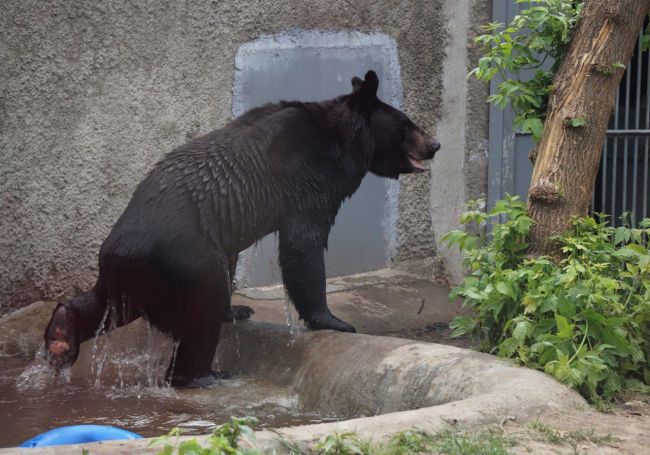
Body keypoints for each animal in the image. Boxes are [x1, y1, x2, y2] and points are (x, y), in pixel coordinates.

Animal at [43, 69, 438, 386]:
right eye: (407, 126)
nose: (435, 144)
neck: (342, 140)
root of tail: (119, 252)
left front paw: (241, 310)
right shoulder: (307, 181)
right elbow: (303, 245)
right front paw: (334, 321)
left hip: (132, 278)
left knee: (107, 306)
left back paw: (62, 333)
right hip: (184, 262)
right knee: (200, 313)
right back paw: (203, 375)